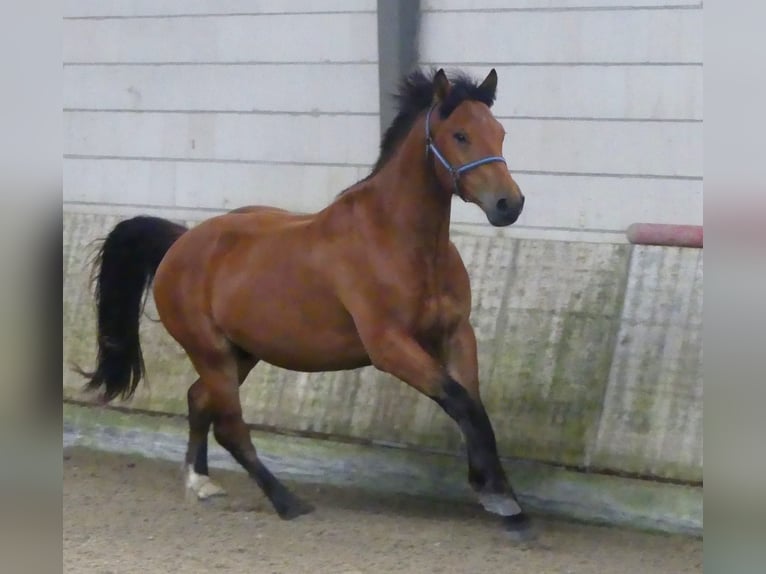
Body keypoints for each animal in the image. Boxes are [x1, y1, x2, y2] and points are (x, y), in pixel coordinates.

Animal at [78, 70, 536, 544]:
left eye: (499, 132)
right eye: (460, 135)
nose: (509, 204)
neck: (401, 242)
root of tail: (180, 242)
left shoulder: (457, 334)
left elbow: (475, 408)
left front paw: (505, 501)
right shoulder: (390, 347)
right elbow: (461, 403)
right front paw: (500, 499)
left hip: (242, 353)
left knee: (198, 399)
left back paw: (200, 483)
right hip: (211, 351)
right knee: (230, 425)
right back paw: (287, 502)